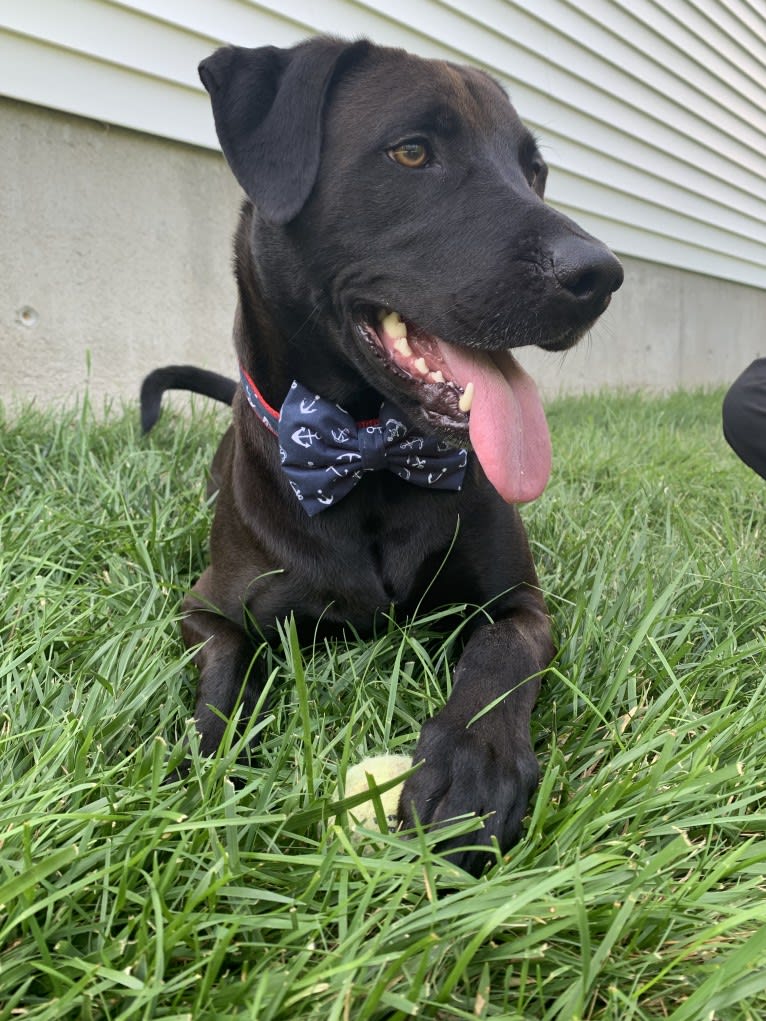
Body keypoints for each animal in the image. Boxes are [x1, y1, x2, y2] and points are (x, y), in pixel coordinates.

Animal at [142, 35, 625, 873]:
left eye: (532, 169)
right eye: (411, 151)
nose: (600, 275)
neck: (367, 454)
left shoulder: (522, 604)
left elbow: (500, 658)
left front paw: (470, 766)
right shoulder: (206, 608)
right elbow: (225, 674)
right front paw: (199, 769)